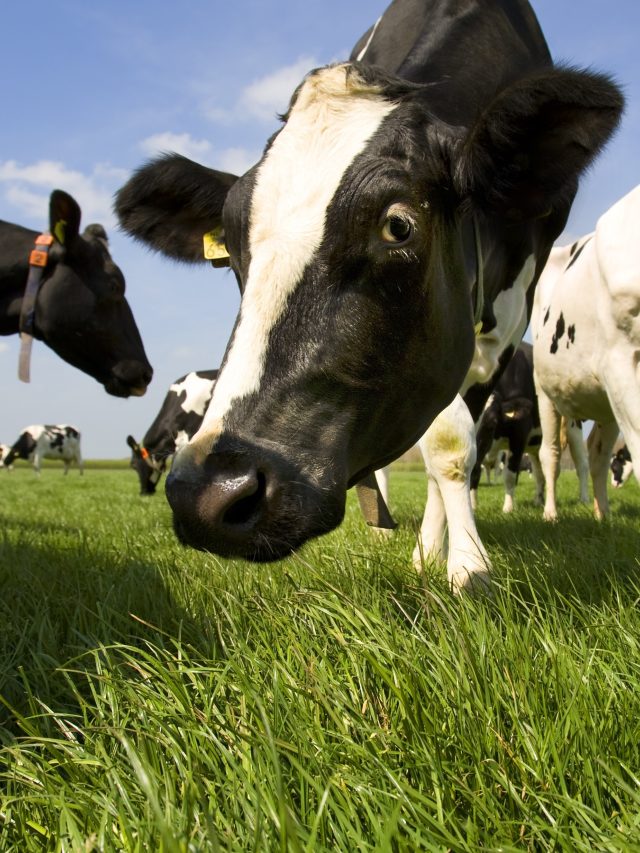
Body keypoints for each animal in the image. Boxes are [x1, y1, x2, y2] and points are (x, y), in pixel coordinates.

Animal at [470, 342, 589, 513]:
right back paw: (538, 500)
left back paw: (584, 499)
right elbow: (474, 471)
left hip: (574, 429)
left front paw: (508, 508)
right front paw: (472, 506)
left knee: (582, 465)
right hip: (535, 444)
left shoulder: (519, 432)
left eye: (491, 423)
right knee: (540, 473)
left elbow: (510, 474)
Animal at [532, 184, 640, 522]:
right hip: (546, 391)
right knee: (550, 454)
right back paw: (550, 513)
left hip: (605, 399)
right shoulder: (622, 364)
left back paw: (602, 515)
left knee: (596, 453)